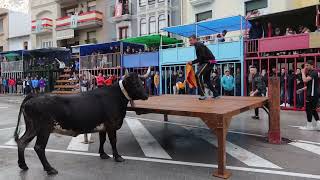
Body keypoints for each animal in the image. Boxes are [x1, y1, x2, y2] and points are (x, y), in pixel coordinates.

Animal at [12, 72, 148, 175]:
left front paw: (103, 154)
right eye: (135, 83)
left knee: (22, 142)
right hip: (44, 129)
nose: (146, 95)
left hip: (32, 128)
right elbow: (113, 141)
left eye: (141, 83)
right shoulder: (111, 124)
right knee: (39, 147)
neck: (116, 96)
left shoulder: (103, 126)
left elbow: (103, 140)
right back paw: (49, 169)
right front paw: (118, 157)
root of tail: (34, 96)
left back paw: (23, 165)